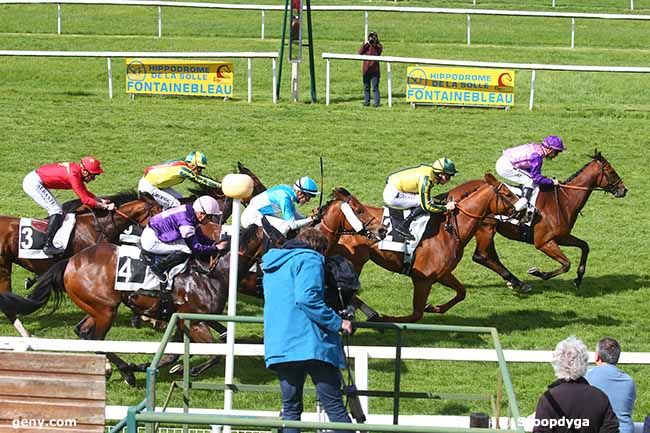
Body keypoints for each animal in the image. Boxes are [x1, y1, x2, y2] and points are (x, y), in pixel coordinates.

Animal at [0, 224, 268, 384]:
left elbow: (175, 353)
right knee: (96, 338)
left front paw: (162, 366)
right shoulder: (197, 322)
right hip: (105, 309)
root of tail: (70, 262)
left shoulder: (182, 319)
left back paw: (121, 368)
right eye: (274, 237)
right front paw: (185, 370)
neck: (212, 272)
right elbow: (215, 354)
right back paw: (126, 371)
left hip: (96, 306)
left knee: (83, 332)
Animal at [330, 173, 516, 320]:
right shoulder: (422, 279)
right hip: (355, 262)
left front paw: (434, 307)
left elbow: (461, 292)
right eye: (508, 193)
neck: (450, 230)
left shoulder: (442, 274)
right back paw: (369, 313)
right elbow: (416, 314)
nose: (522, 210)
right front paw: (385, 319)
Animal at [464, 150, 624, 292]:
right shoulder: (544, 242)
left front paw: (578, 279)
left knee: (489, 257)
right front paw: (538, 272)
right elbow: (566, 264)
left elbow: (585, 246)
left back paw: (513, 282)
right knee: (480, 256)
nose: (624, 189)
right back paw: (517, 282)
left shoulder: (562, 237)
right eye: (611, 171)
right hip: (486, 229)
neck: (563, 201)